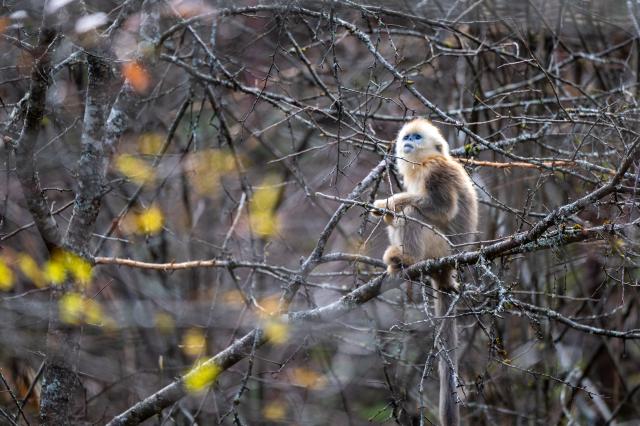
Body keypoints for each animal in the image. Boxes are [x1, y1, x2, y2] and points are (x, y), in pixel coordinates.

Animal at [371, 118, 478, 426]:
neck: (421, 164)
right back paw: (398, 262)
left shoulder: (435, 169)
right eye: (407, 137)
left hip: (439, 247)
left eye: (417, 137)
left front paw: (387, 202)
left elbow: (440, 208)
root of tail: (448, 267)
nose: (408, 142)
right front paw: (385, 209)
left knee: (413, 212)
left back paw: (405, 257)